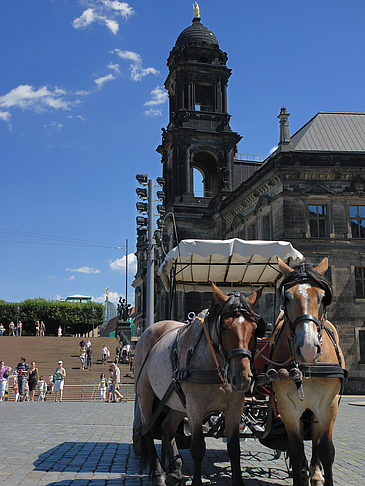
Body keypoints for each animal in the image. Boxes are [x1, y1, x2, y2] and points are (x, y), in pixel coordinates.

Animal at [134, 282, 264, 484]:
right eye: (224, 327)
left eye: (255, 327)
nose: (242, 378)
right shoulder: (195, 406)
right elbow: (197, 448)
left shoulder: (235, 407)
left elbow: (234, 449)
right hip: (145, 394)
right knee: (147, 430)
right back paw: (158, 473)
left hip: (177, 401)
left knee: (167, 427)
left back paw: (175, 471)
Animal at [272, 256, 346, 484]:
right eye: (287, 297)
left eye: (322, 297)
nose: (307, 348)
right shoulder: (288, 407)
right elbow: (296, 451)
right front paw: (300, 471)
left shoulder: (329, 405)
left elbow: (326, 450)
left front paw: (319, 473)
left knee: (315, 436)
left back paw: (315, 472)